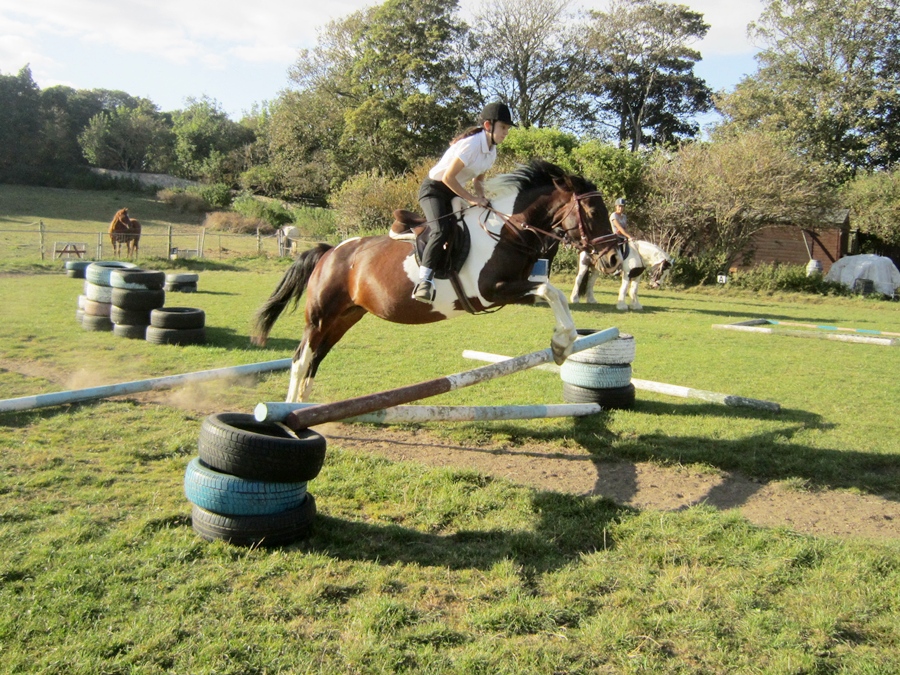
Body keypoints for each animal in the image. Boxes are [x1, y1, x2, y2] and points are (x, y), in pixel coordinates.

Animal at [252, 160, 620, 402]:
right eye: (591, 213)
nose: (614, 258)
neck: (508, 229)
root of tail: (329, 252)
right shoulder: (492, 291)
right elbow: (550, 290)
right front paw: (560, 345)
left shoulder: (513, 288)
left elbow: (555, 294)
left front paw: (563, 345)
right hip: (319, 317)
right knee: (301, 360)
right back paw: (289, 414)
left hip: (345, 317)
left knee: (315, 360)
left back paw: (303, 411)